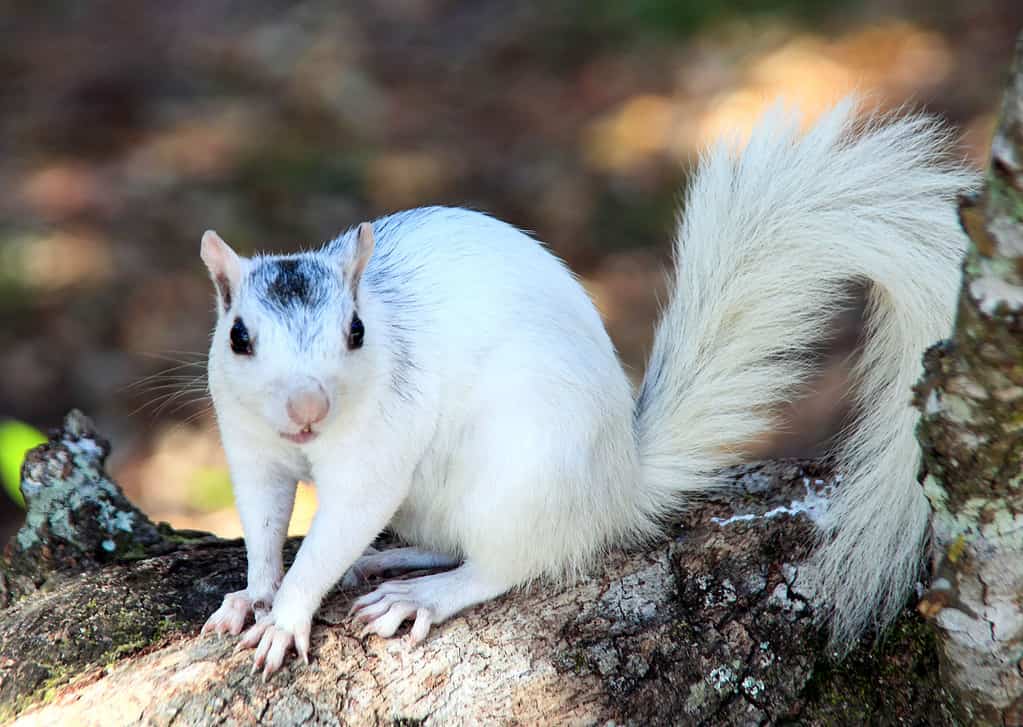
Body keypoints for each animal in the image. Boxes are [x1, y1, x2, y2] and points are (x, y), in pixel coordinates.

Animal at [198, 97, 976, 677]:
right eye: (239, 336)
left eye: (356, 331)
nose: (306, 408)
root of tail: (616, 486)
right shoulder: (250, 448)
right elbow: (263, 526)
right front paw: (252, 596)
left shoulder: (375, 456)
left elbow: (333, 534)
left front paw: (286, 615)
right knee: (459, 542)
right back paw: (395, 557)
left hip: (521, 476)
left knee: (507, 563)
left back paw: (423, 595)